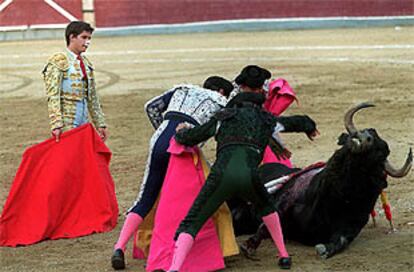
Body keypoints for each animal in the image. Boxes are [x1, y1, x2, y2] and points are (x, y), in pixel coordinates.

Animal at [228, 103, 412, 258]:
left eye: (381, 152)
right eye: (367, 131)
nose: (365, 136)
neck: (339, 196)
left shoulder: (351, 226)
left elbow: (341, 241)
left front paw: (324, 249)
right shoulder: (284, 203)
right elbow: (269, 224)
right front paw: (249, 246)